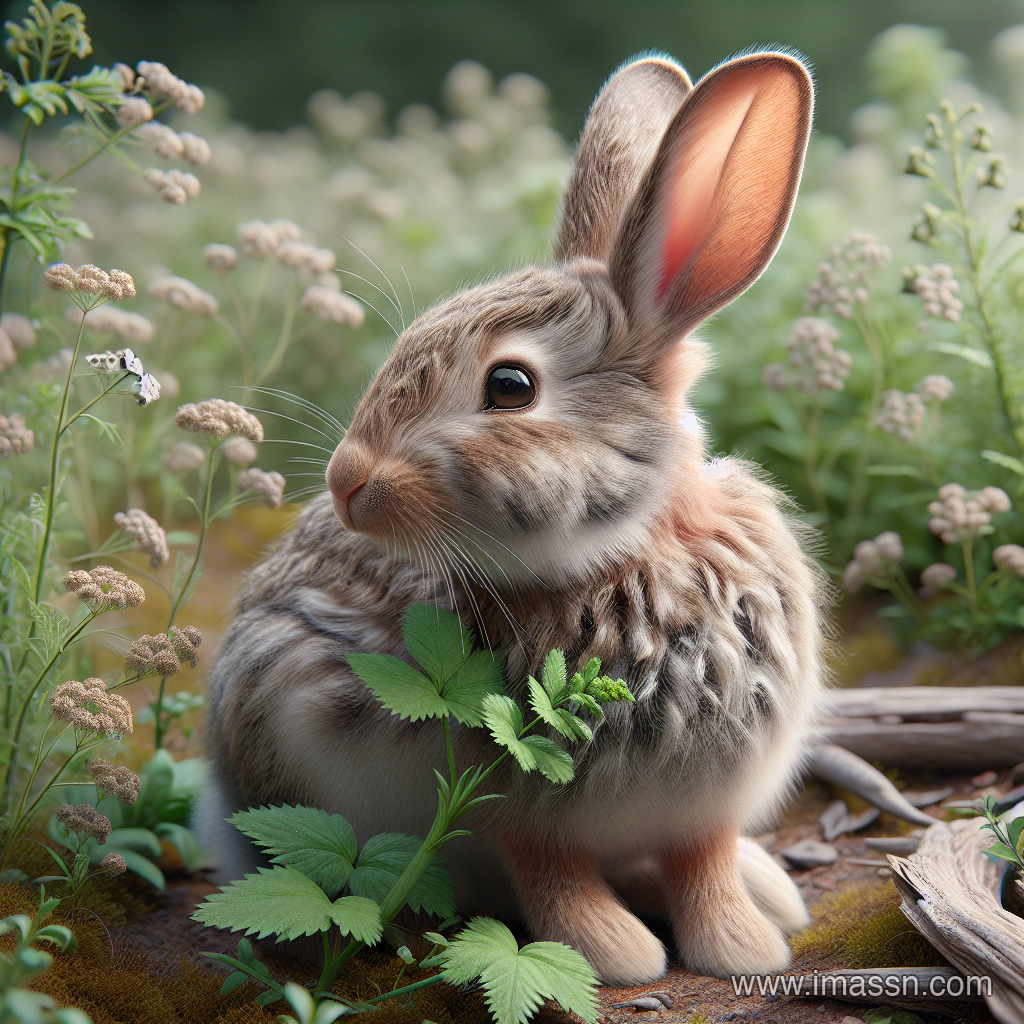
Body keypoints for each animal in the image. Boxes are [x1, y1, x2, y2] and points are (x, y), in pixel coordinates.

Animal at [199, 49, 828, 986]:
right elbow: (554, 875)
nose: (347, 483)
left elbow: (704, 863)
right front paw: (621, 957)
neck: (639, 550)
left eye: (510, 386)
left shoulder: (704, 803)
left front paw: (744, 948)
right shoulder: (516, 807)